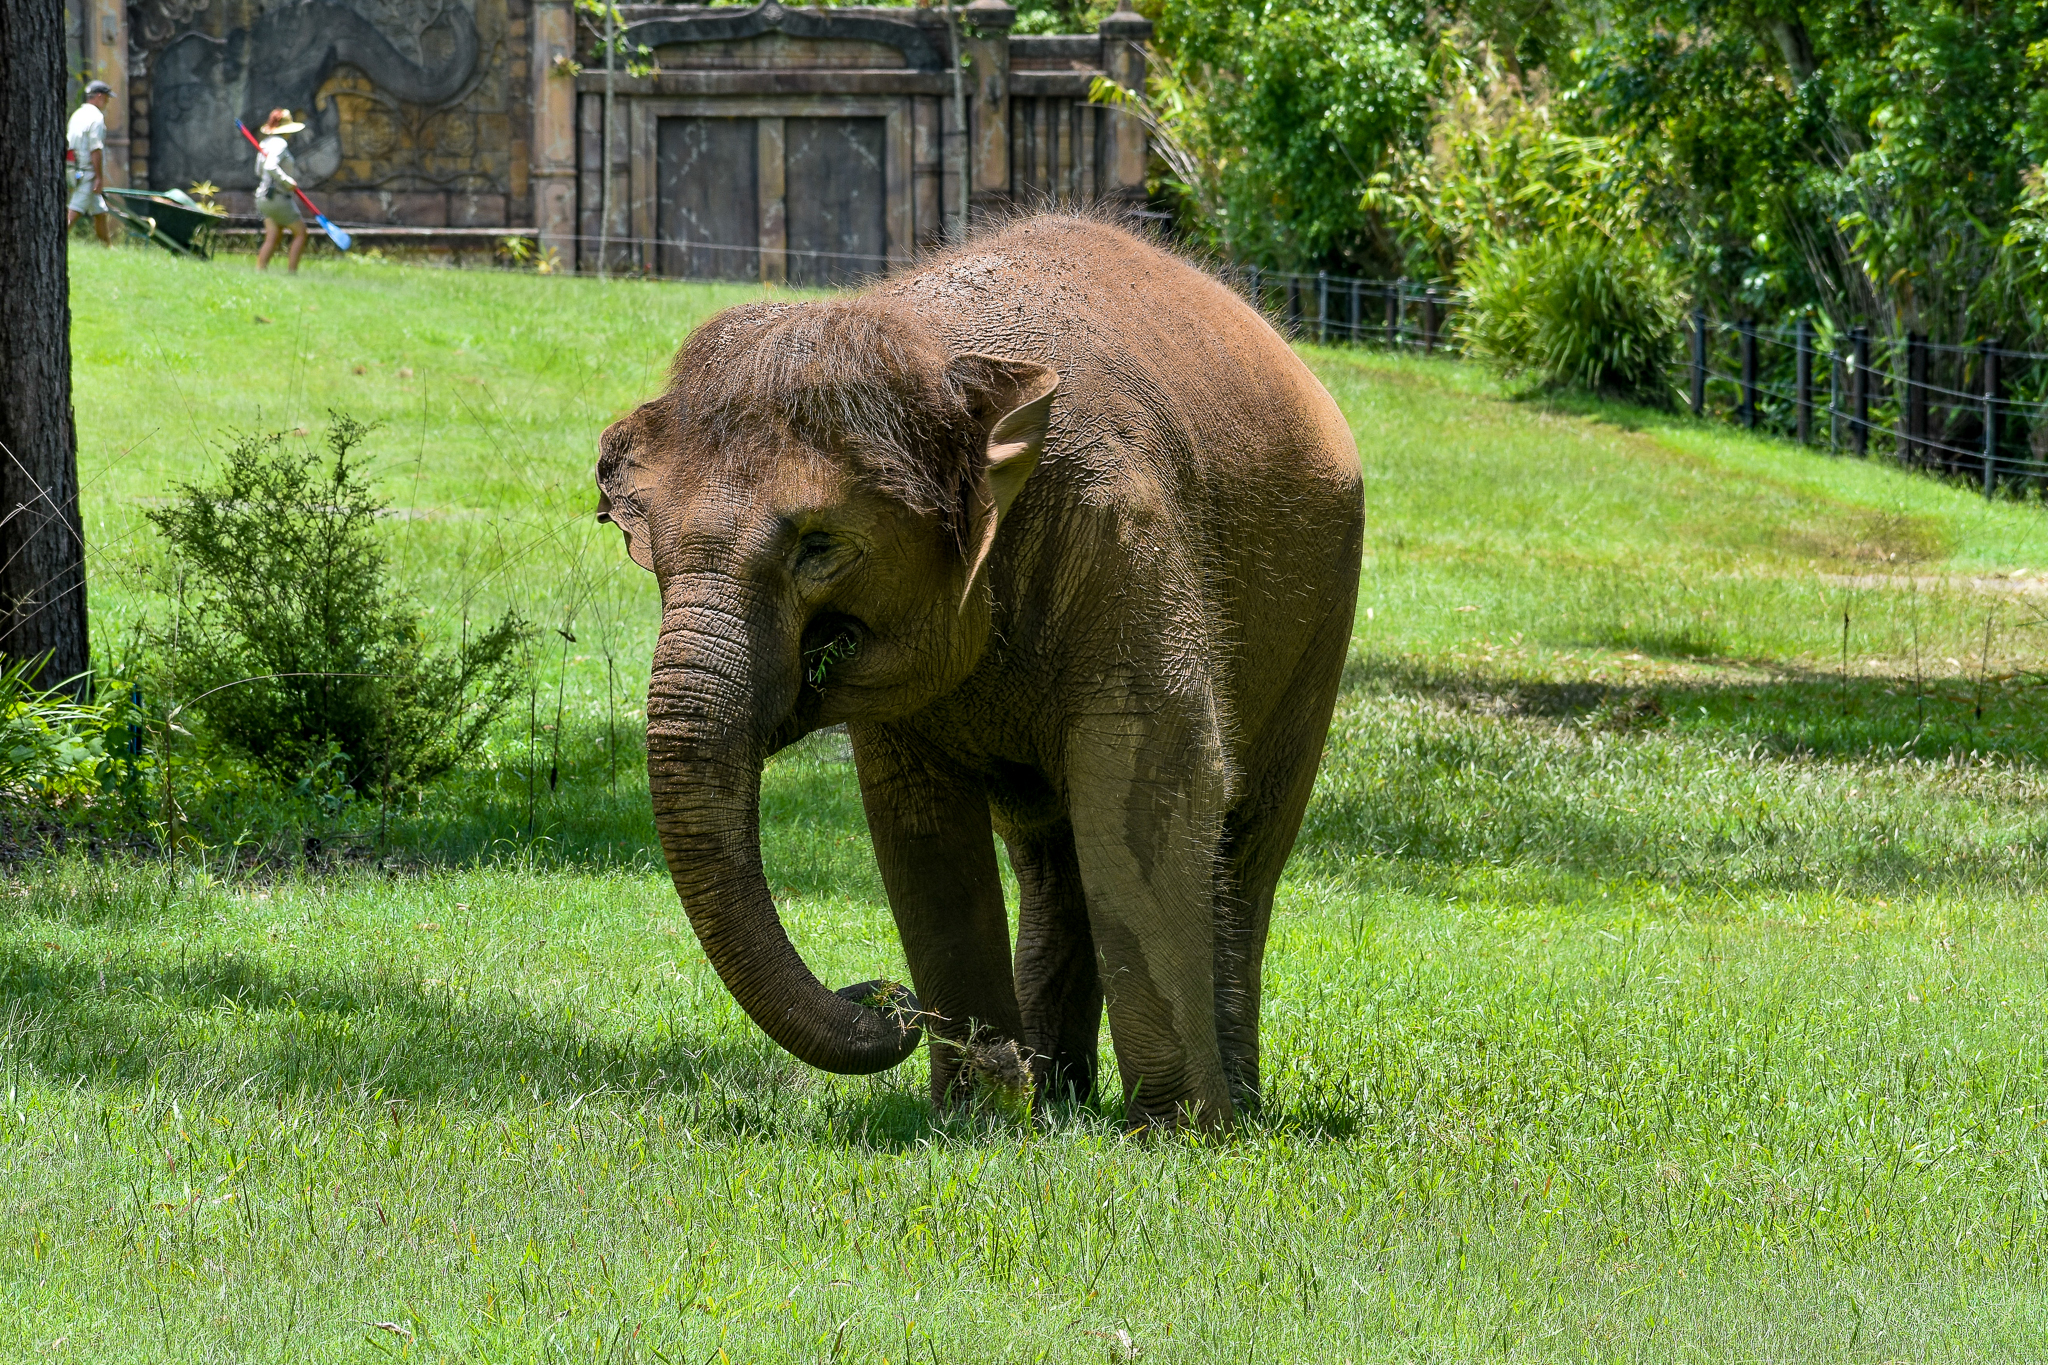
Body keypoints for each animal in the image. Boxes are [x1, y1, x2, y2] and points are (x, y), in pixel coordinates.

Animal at [598, 216, 1362, 1131]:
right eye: (647, 551)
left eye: (819, 546)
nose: (890, 1000)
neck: (943, 354)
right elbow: (918, 824)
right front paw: (981, 1113)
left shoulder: (1128, 529)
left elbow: (1153, 775)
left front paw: (1179, 1134)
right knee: (1050, 852)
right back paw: (1061, 1093)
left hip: (1323, 609)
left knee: (1244, 846)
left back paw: (1227, 1108)